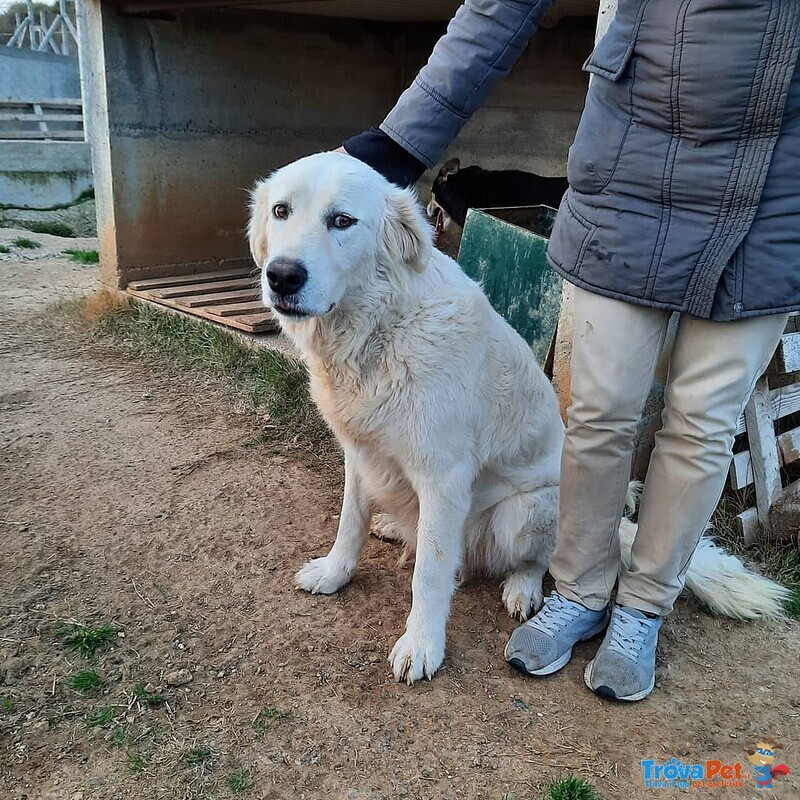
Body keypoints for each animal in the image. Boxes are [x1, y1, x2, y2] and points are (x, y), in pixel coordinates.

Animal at [250, 153, 788, 684]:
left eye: (342, 221)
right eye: (281, 211)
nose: (282, 276)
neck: (377, 329)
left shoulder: (444, 477)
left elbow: (430, 574)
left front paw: (422, 645)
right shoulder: (361, 452)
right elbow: (349, 522)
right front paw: (335, 572)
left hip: (524, 511)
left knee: (534, 559)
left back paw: (523, 590)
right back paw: (397, 528)